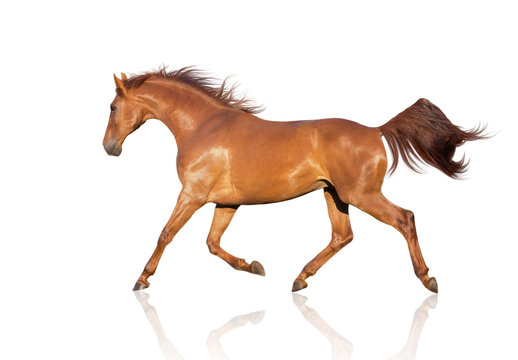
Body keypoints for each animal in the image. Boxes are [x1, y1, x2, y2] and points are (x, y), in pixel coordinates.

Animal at [102, 67, 488, 292]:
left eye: (112, 107)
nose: (109, 148)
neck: (203, 126)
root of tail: (375, 131)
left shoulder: (193, 195)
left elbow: (166, 233)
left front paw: (141, 279)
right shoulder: (226, 201)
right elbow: (212, 243)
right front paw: (253, 267)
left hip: (361, 194)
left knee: (405, 219)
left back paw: (428, 278)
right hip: (335, 195)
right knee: (342, 236)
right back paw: (300, 278)